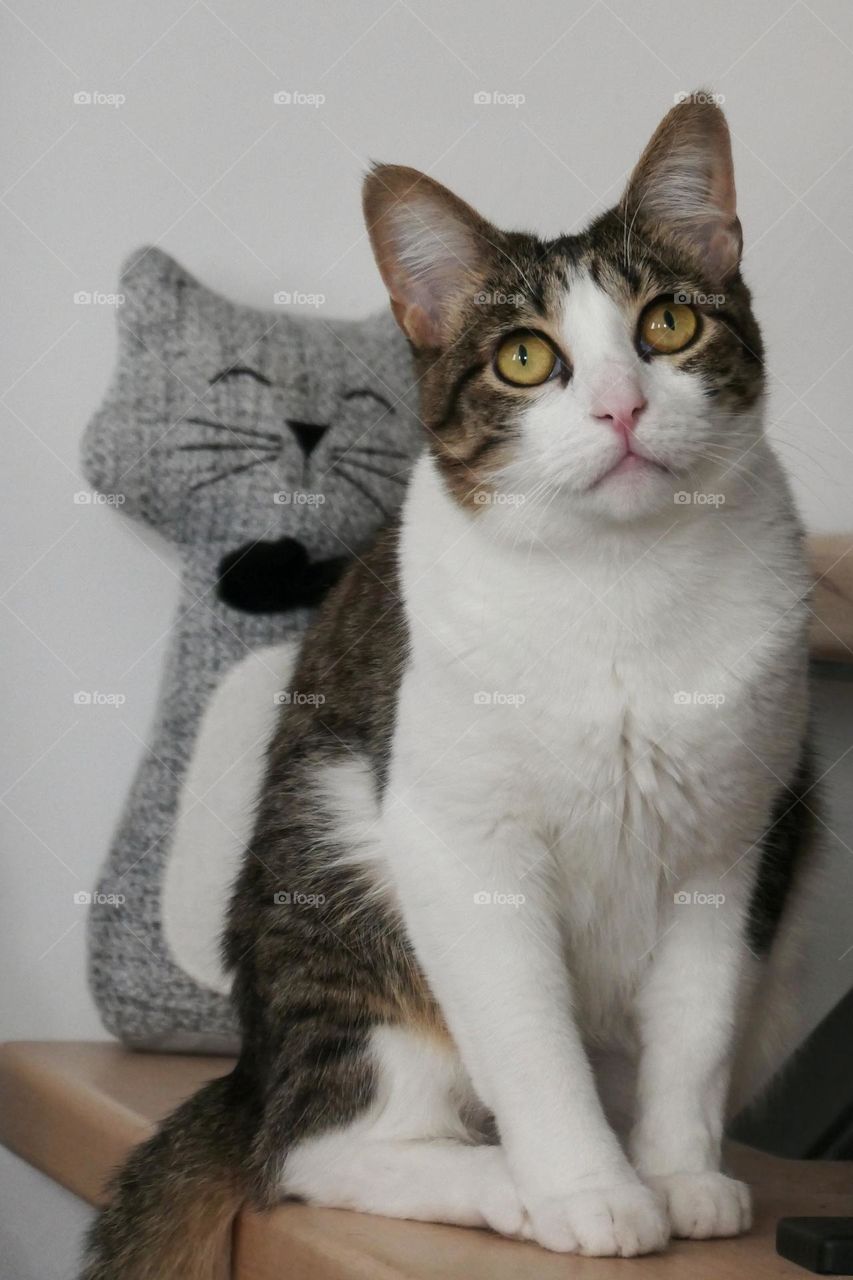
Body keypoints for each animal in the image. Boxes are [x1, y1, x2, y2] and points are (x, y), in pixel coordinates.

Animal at [79, 94, 809, 1274]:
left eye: (665, 326)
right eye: (524, 356)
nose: (619, 409)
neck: (622, 584)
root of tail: (249, 1067)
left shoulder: (735, 840)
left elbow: (695, 1034)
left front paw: (679, 1173)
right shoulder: (457, 837)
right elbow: (527, 1034)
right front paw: (590, 1190)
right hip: (337, 883)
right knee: (314, 1147)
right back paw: (502, 1178)